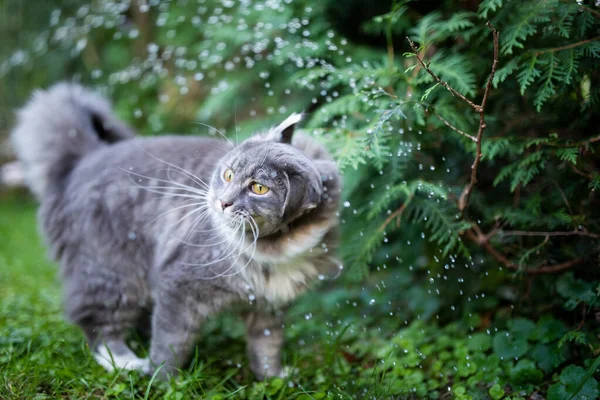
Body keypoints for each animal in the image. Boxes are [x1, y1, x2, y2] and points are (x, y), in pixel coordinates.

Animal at [11, 83, 342, 378]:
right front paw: (161, 381)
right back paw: (129, 363)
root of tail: (82, 159)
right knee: (97, 325)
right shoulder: (181, 288)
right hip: (112, 272)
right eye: (228, 174)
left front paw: (274, 379)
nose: (222, 202)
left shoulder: (269, 308)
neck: (273, 252)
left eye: (259, 188)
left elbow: (266, 349)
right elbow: (170, 345)